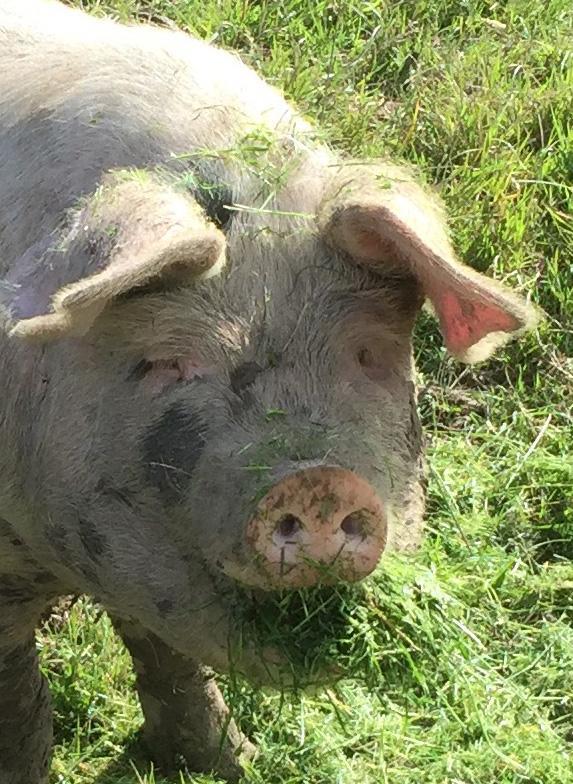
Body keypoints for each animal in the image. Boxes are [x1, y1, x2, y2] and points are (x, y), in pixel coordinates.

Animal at [0, 0, 540, 780]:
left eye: (368, 355)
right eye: (168, 363)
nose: (317, 481)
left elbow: (167, 655)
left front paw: (234, 762)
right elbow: (24, 712)